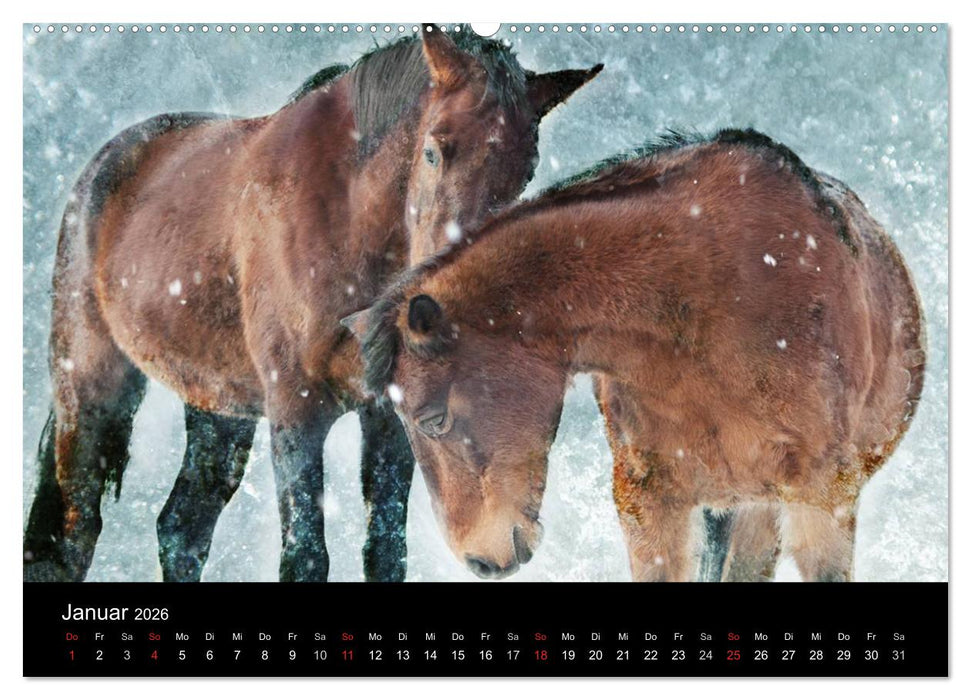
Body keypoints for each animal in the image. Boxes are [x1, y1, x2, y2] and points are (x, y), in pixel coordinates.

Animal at [23, 26, 602, 583]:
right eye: (434, 151)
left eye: (526, 170)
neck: (347, 222)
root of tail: (102, 167)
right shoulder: (295, 409)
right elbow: (305, 556)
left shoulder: (389, 419)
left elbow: (385, 551)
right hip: (91, 387)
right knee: (72, 532)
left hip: (217, 406)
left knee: (182, 529)